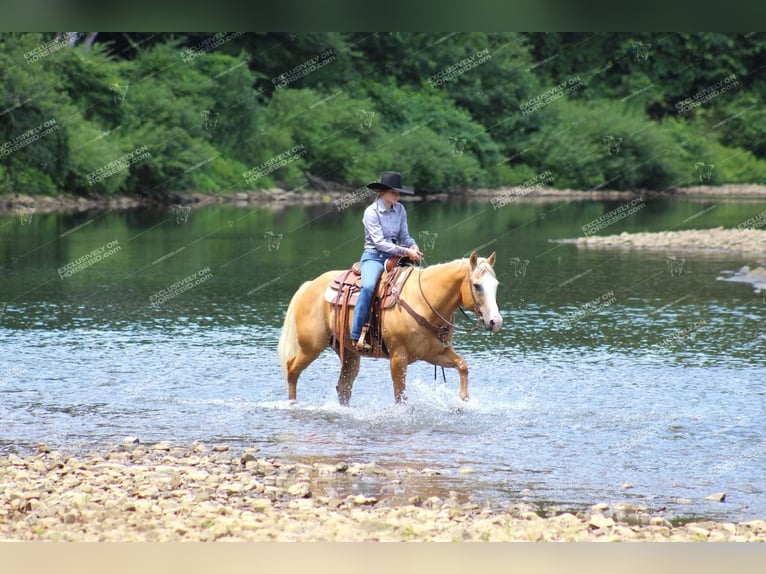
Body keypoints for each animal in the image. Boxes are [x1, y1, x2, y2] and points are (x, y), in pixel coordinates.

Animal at [276, 251, 504, 404]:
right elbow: (400, 395)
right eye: (477, 285)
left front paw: (463, 400)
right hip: (311, 347)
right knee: (292, 369)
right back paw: (292, 404)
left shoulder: (435, 352)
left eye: (496, 285)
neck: (424, 300)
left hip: (349, 354)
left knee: (343, 387)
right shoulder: (398, 357)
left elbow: (462, 365)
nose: (496, 321)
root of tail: (310, 286)